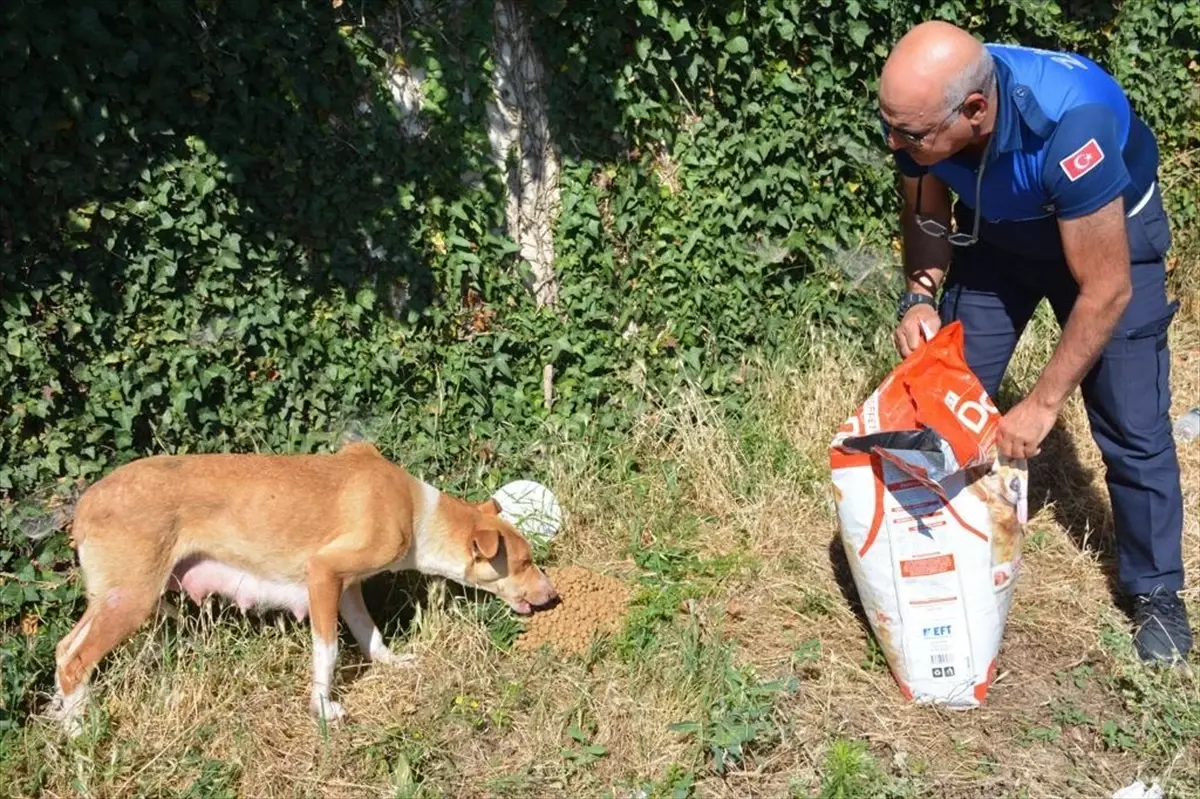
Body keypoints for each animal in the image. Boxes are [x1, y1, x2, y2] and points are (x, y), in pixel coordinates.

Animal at [43, 441, 556, 734]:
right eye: (524, 562)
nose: (553, 596)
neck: (414, 511)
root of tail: (85, 504)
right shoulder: (323, 574)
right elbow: (327, 651)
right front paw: (324, 708)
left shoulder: (348, 589)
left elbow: (370, 634)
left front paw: (392, 663)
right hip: (131, 600)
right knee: (77, 661)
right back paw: (80, 731)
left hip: (108, 600)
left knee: (65, 650)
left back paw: (65, 717)